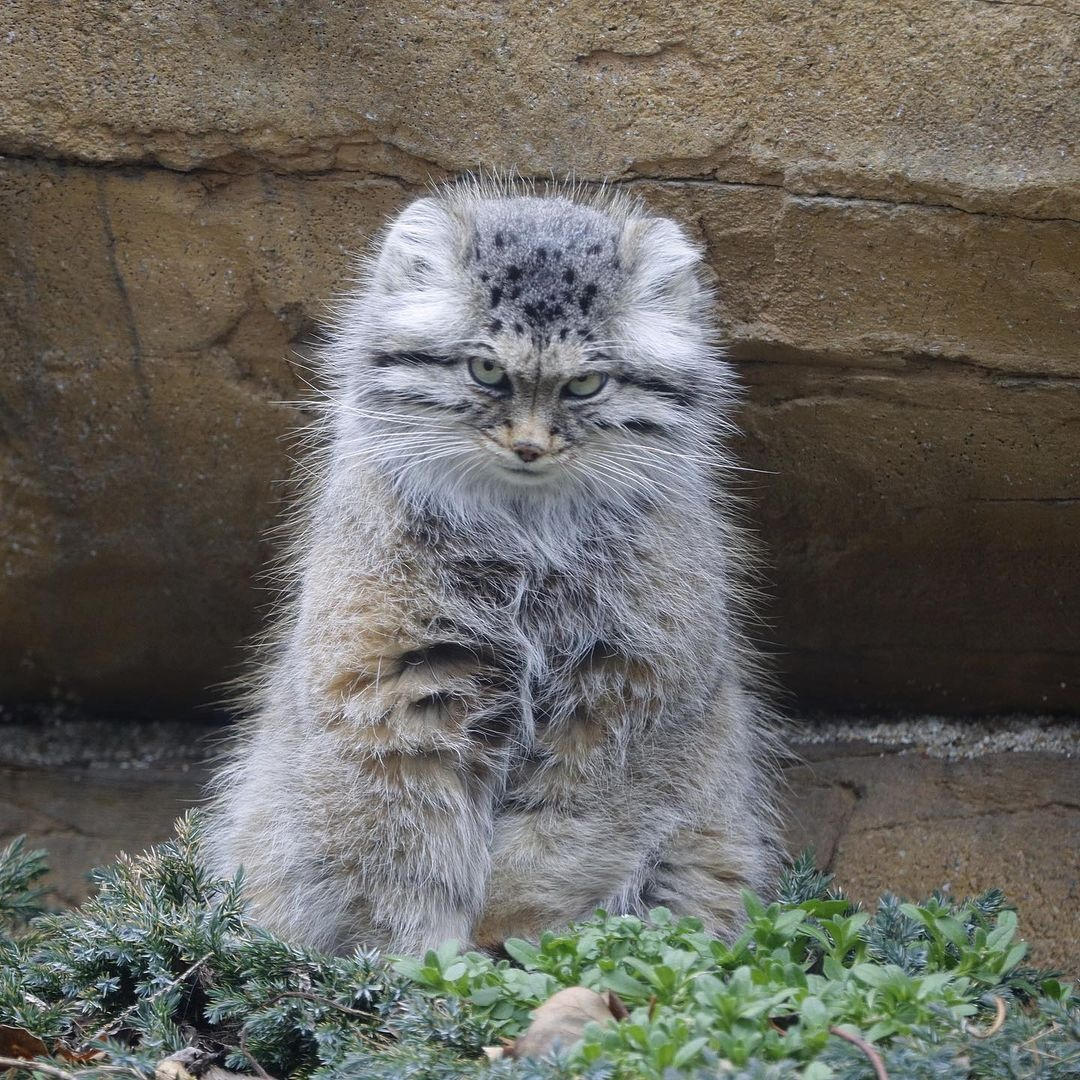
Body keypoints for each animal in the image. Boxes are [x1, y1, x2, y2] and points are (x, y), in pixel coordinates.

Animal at [204, 177, 777, 954]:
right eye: (486, 370)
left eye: (585, 385)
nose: (530, 446)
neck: (525, 544)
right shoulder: (395, 696)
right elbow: (405, 855)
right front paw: (423, 963)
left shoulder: (626, 702)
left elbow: (567, 842)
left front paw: (513, 938)